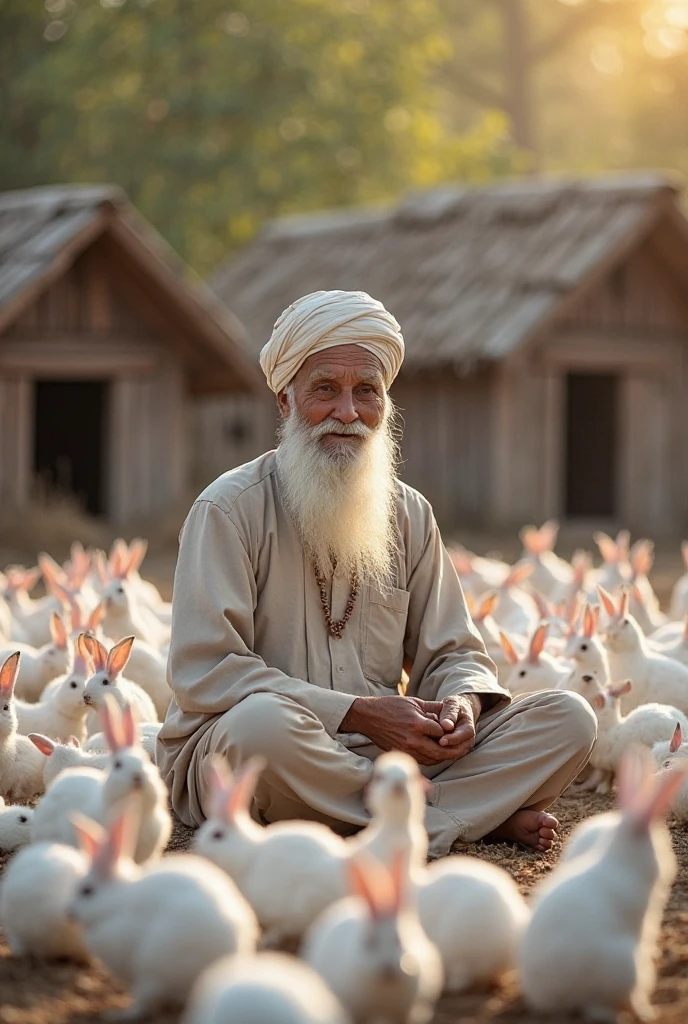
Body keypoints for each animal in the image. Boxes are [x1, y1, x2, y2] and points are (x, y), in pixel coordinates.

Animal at [68, 803, 259, 1018]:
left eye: (86, 891)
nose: (69, 912)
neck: (115, 903)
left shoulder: (146, 977)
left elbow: (141, 1005)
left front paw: (117, 1015)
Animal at [194, 755, 349, 945]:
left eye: (217, 835)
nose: (199, 853)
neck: (248, 857)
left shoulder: (283, 915)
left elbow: (279, 930)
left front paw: (264, 941)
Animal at [519, 745, 688, 1022]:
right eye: (660, 845)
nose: (668, 863)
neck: (620, 855)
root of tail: (558, 999)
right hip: (626, 967)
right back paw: (644, 1012)